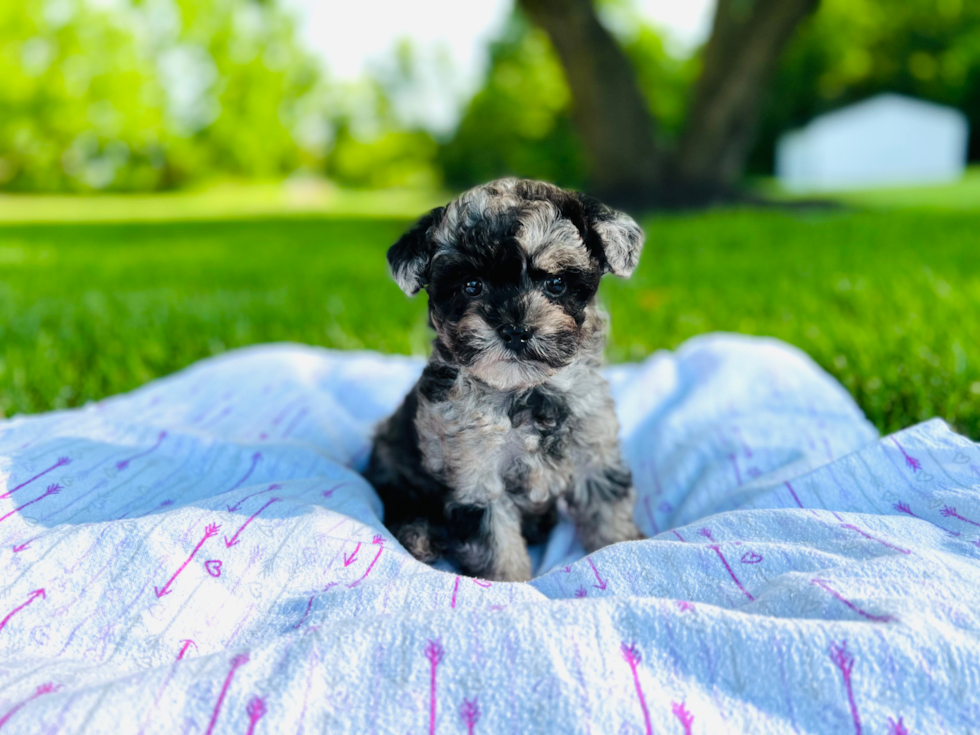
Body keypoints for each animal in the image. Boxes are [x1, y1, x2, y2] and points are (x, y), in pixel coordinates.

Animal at [364, 178, 648, 580]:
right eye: (471, 286)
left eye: (556, 284)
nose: (516, 331)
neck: (526, 391)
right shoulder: (476, 478)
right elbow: (496, 545)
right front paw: (510, 583)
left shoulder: (595, 451)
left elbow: (608, 511)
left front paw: (621, 548)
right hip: (394, 465)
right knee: (400, 502)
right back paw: (420, 535)